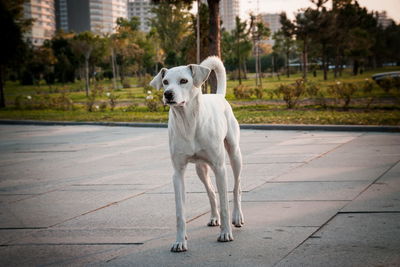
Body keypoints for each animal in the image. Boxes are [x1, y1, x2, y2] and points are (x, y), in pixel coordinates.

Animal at [150, 56, 244, 253]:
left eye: (183, 81)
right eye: (165, 82)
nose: (168, 94)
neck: (188, 122)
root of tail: (218, 96)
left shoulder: (220, 168)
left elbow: (225, 204)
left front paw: (226, 233)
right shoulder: (178, 173)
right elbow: (180, 212)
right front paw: (180, 241)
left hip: (234, 154)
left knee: (236, 187)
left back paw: (237, 217)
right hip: (201, 168)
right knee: (211, 192)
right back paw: (214, 217)